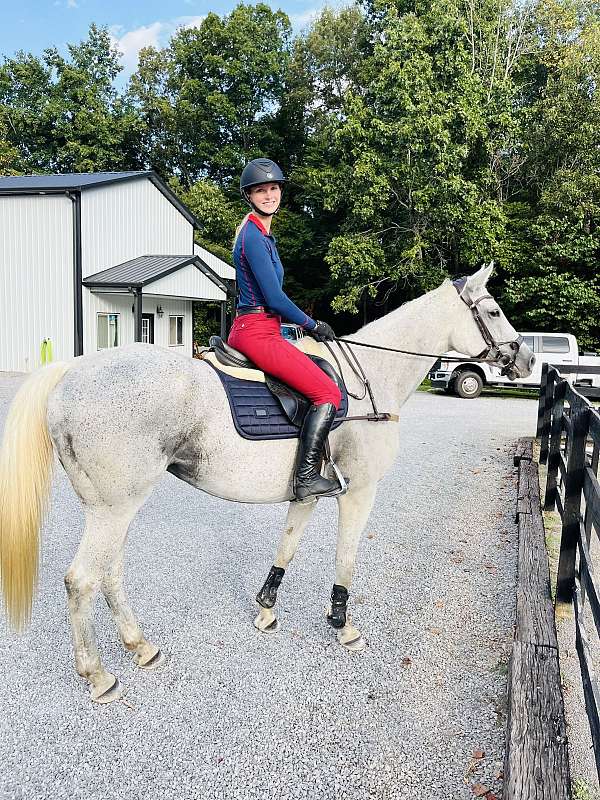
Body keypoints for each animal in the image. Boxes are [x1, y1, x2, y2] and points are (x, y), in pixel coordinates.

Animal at [0, 265, 534, 703]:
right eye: (493, 310)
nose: (526, 359)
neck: (372, 378)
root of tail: (72, 371)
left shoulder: (310, 491)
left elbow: (288, 544)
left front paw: (266, 608)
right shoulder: (360, 491)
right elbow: (346, 557)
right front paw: (341, 624)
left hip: (114, 507)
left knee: (109, 572)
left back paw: (140, 646)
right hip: (114, 507)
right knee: (81, 580)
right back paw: (97, 674)